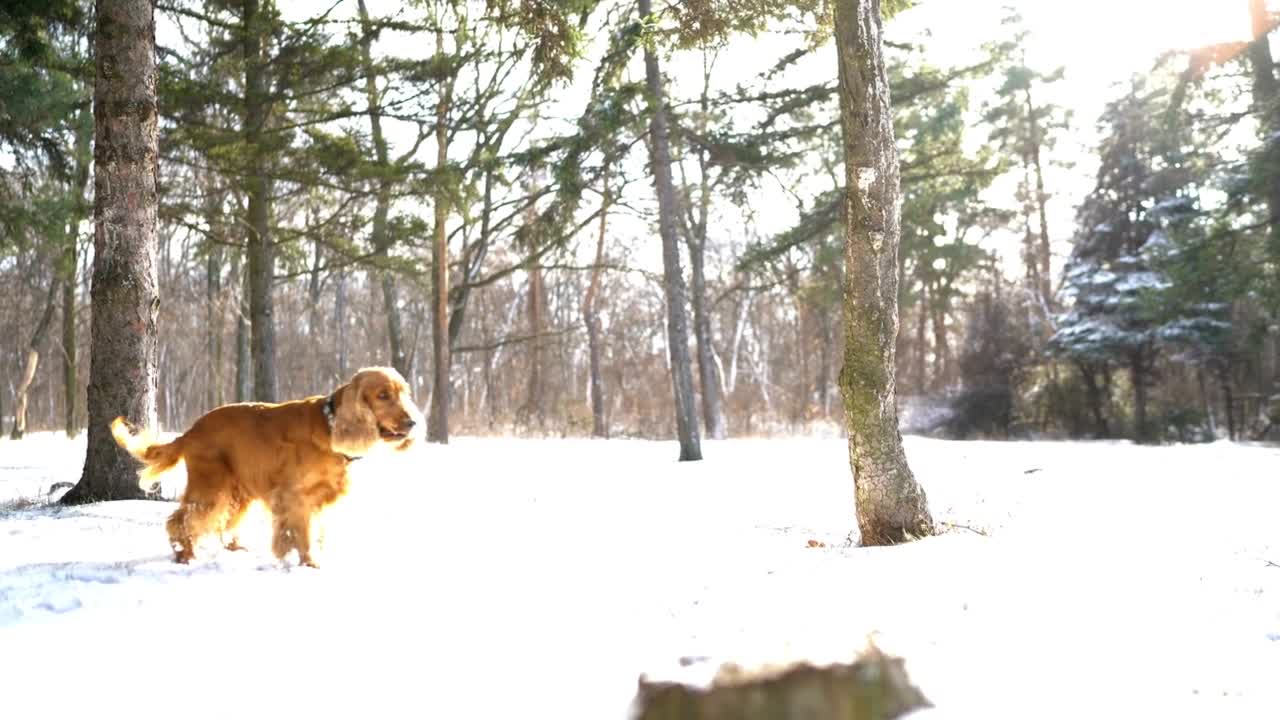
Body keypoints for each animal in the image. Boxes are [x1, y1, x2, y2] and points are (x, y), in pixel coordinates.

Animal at [112, 366, 422, 563]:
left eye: (404, 394)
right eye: (383, 395)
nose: (413, 422)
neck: (331, 426)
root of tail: (191, 431)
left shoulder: (315, 500)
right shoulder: (295, 496)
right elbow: (302, 533)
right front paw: (308, 563)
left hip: (238, 492)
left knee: (225, 521)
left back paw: (235, 548)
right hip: (212, 486)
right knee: (182, 519)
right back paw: (184, 553)